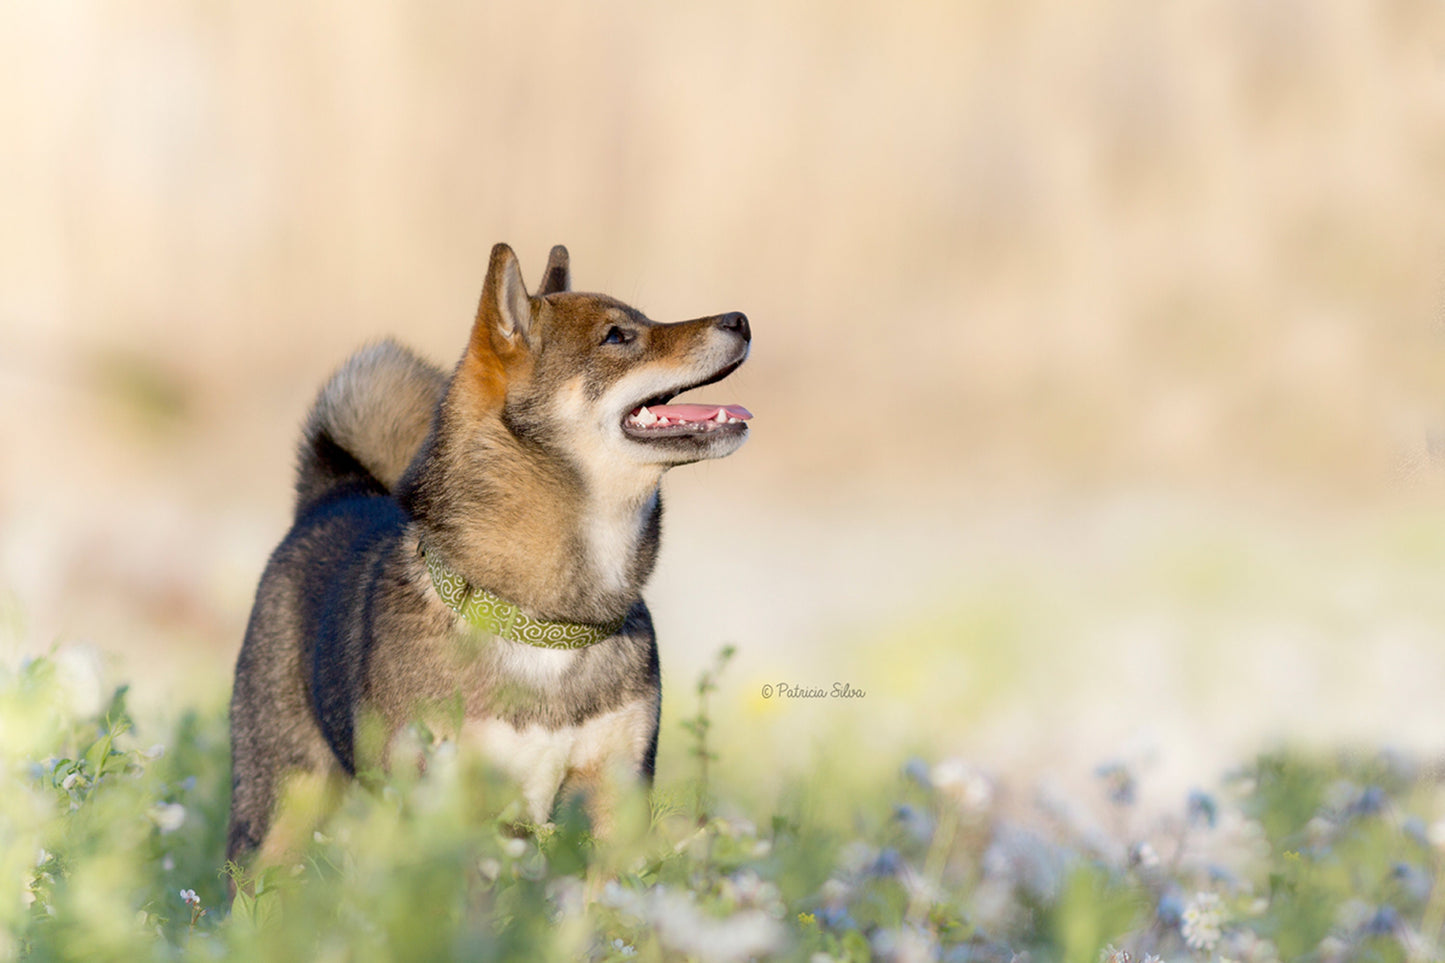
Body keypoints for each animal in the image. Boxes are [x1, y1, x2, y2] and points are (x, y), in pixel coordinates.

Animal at [222, 244, 757, 867]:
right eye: (617, 336)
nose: (741, 320)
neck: (549, 624)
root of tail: (332, 495)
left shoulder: (614, 799)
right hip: (278, 811)